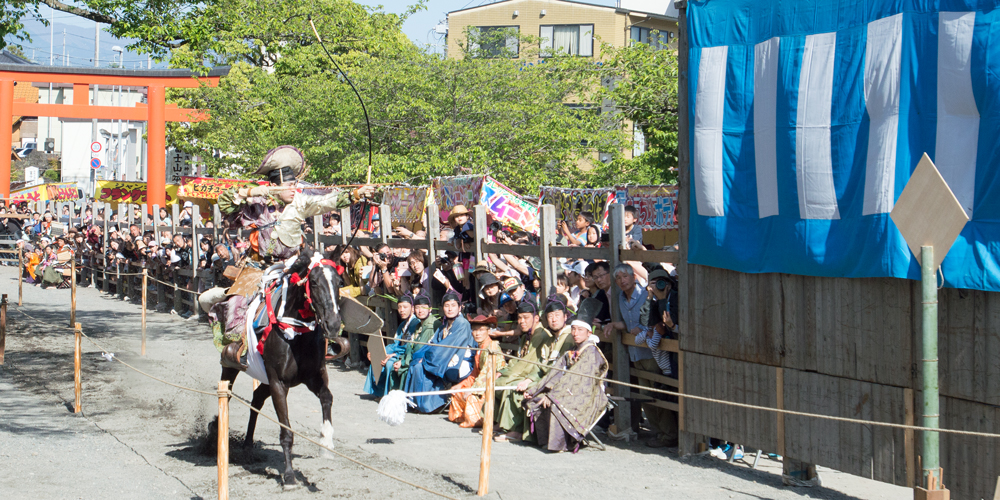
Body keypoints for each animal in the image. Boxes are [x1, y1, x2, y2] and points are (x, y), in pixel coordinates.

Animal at [221, 250, 346, 488]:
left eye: (339, 282)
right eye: (314, 282)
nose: (334, 325)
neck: (296, 333)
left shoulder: (312, 376)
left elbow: (327, 397)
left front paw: (326, 441)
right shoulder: (279, 382)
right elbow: (286, 430)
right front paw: (289, 475)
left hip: (266, 378)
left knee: (257, 400)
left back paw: (248, 445)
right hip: (231, 364)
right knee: (228, 392)